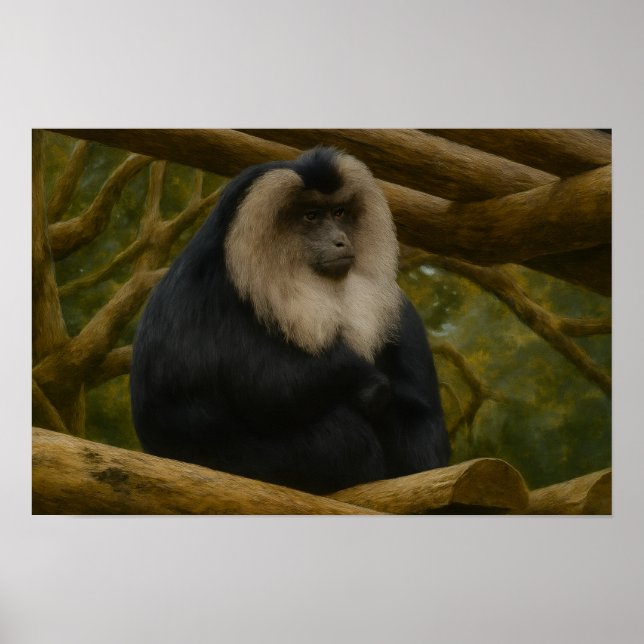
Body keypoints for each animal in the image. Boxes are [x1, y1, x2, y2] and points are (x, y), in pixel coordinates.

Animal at [130, 146, 450, 495]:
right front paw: (363, 381)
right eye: (311, 216)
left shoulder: (399, 309)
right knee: (344, 436)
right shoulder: (200, 292)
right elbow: (257, 385)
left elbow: (422, 423)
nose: (340, 240)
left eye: (339, 213)